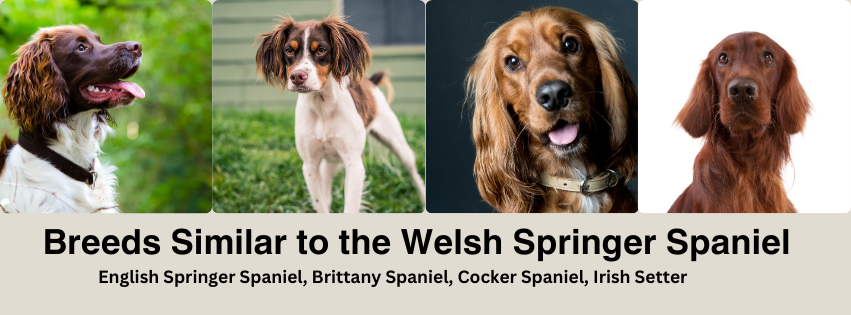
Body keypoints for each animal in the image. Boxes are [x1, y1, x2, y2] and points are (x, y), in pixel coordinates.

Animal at [253, 16, 426, 214]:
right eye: (289, 50)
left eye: (321, 50)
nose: (297, 77)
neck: (322, 107)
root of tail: (371, 83)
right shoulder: (310, 165)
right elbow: (321, 204)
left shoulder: (354, 164)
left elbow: (349, 208)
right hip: (329, 163)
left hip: (398, 145)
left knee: (414, 174)